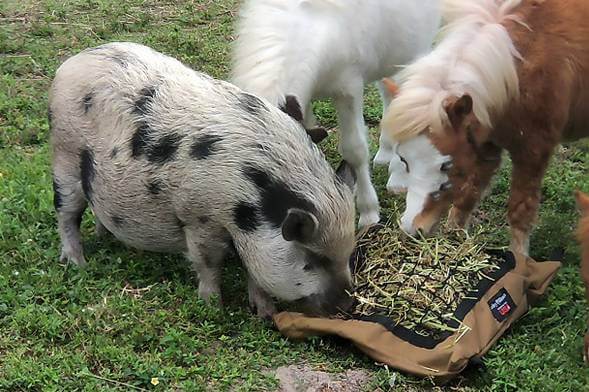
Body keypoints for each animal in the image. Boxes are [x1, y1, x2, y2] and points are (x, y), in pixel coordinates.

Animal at [378, 0, 584, 256]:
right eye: (404, 160)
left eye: (446, 165)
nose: (412, 227)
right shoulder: (485, 146)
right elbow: (468, 194)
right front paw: (455, 237)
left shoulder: (533, 152)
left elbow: (520, 213)